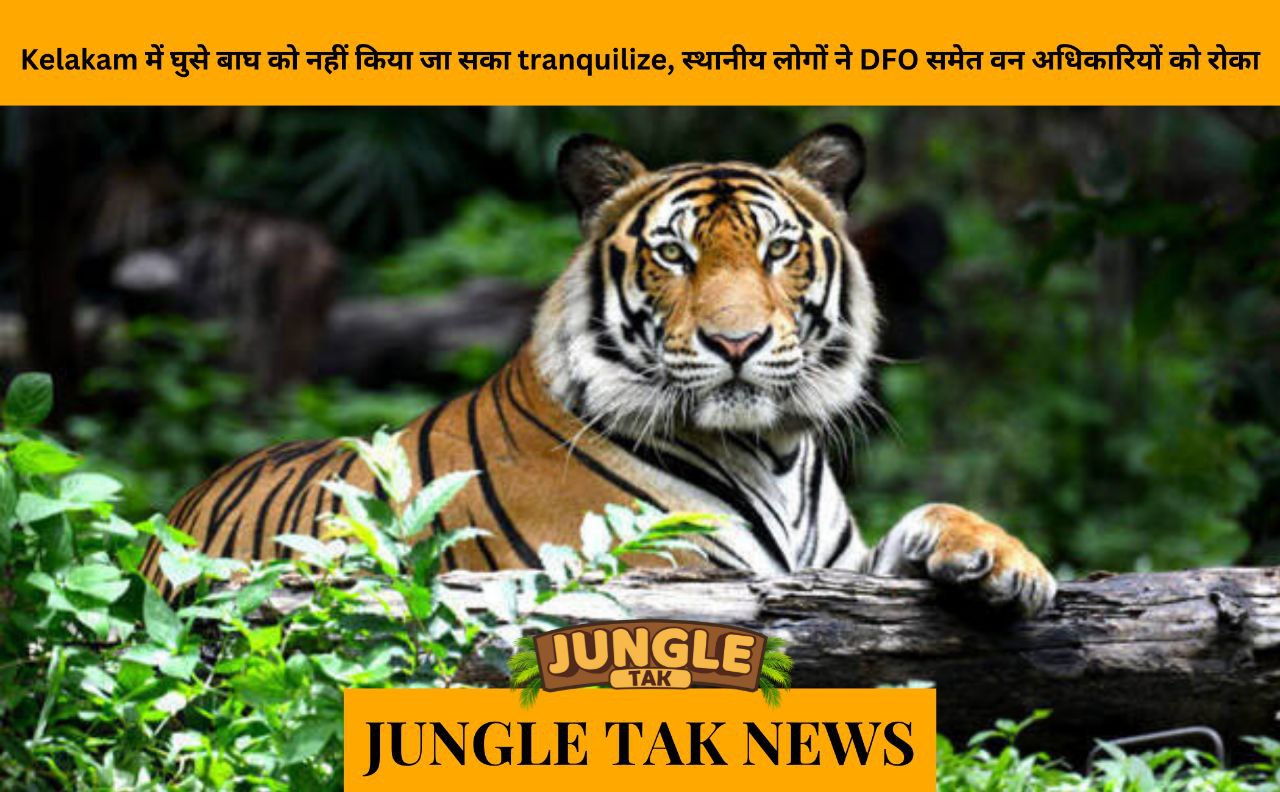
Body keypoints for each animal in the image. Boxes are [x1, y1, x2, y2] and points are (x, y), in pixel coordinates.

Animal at [146, 125, 1056, 616]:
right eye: (673, 254)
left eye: (777, 250)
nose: (737, 343)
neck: (772, 451)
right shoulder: (657, 573)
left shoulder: (834, 569)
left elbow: (929, 518)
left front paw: (1008, 563)